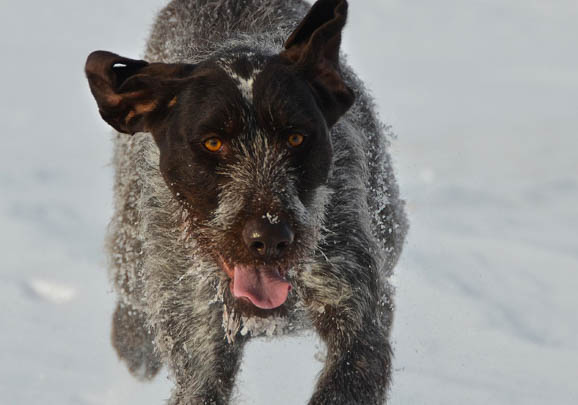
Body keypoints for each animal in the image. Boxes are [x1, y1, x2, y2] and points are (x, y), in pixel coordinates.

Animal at [84, 0, 404, 400]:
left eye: (296, 138)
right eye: (212, 143)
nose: (269, 238)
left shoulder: (355, 304)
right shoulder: (199, 339)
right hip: (131, 244)